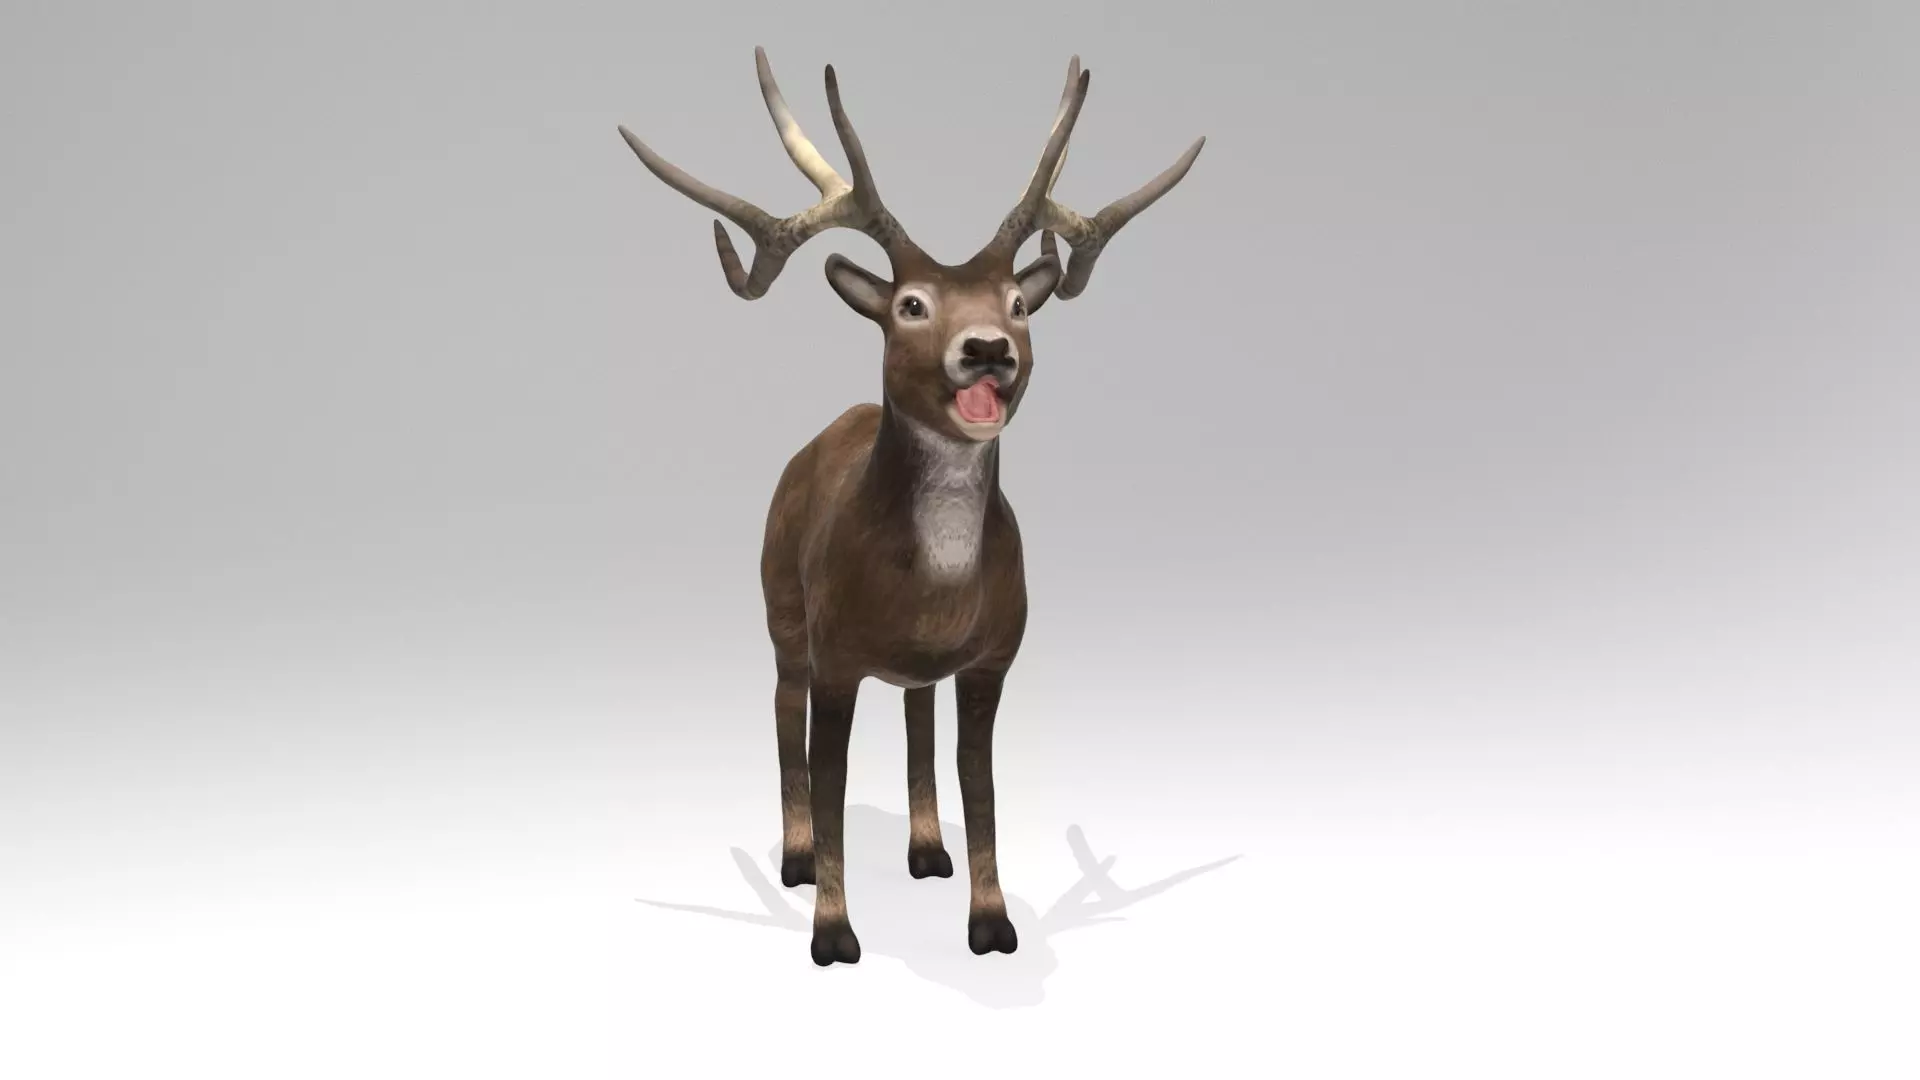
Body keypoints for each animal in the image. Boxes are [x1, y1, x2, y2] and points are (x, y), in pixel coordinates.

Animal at [617, 47, 1203, 967]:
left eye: (1018, 304)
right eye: (911, 304)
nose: (988, 350)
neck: (936, 590)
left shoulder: (995, 657)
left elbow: (983, 789)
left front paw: (991, 921)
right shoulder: (836, 653)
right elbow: (829, 788)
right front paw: (831, 931)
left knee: (917, 712)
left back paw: (927, 847)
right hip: (781, 602)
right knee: (782, 712)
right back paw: (792, 857)